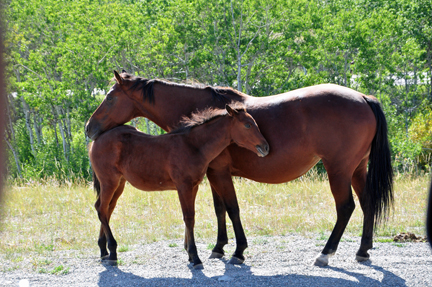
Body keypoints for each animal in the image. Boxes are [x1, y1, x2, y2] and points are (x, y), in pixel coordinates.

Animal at [89, 106, 268, 270]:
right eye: (247, 125)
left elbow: (191, 217)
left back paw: (104, 252)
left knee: (107, 209)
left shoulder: (193, 187)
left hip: (119, 183)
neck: (193, 146)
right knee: (101, 208)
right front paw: (195, 257)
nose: (265, 147)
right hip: (109, 182)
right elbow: (189, 218)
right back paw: (112, 253)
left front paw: (189, 254)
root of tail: (95, 142)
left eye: (254, 123)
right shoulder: (184, 186)